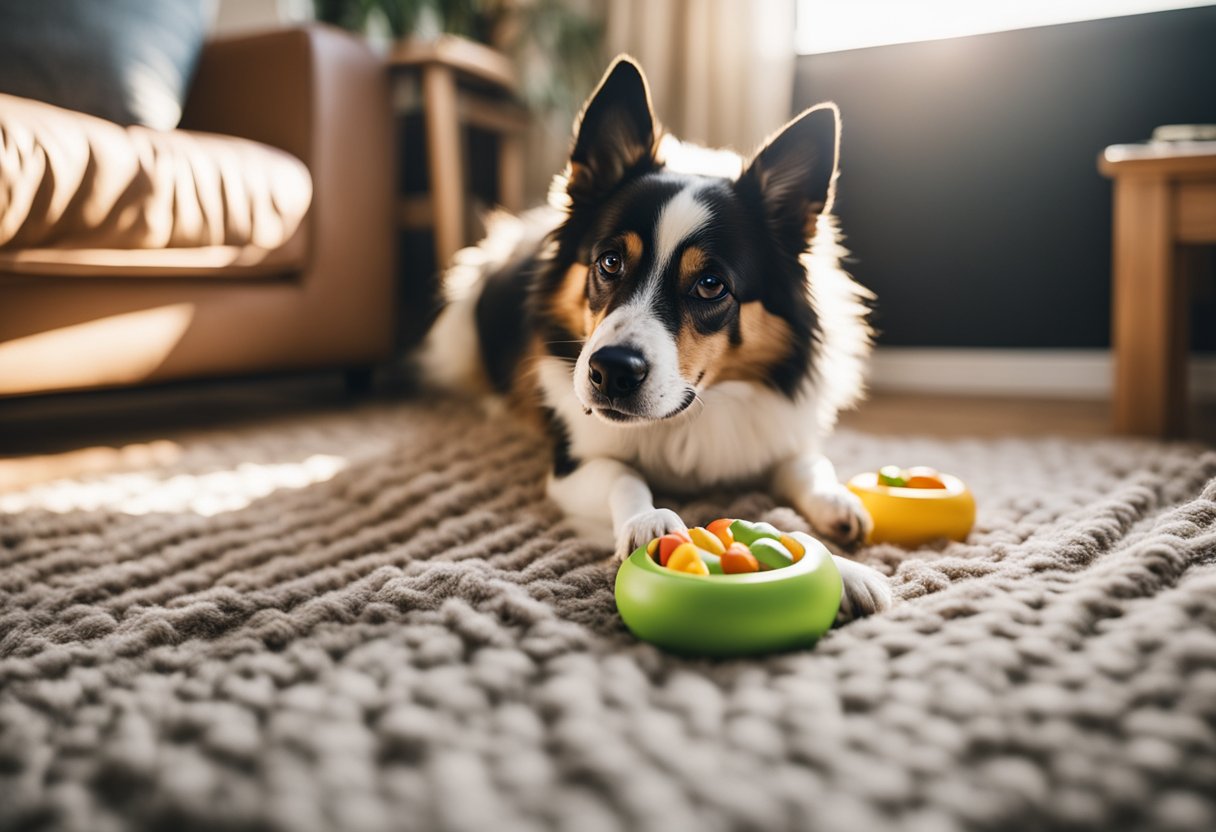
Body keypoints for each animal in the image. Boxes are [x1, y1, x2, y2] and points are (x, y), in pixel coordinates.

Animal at [425, 56, 894, 617]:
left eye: (711, 284)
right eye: (609, 261)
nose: (610, 372)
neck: (687, 416)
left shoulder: (772, 429)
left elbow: (806, 465)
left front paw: (845, 534)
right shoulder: (570, 464)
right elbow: (623, 475)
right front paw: (648, 520)